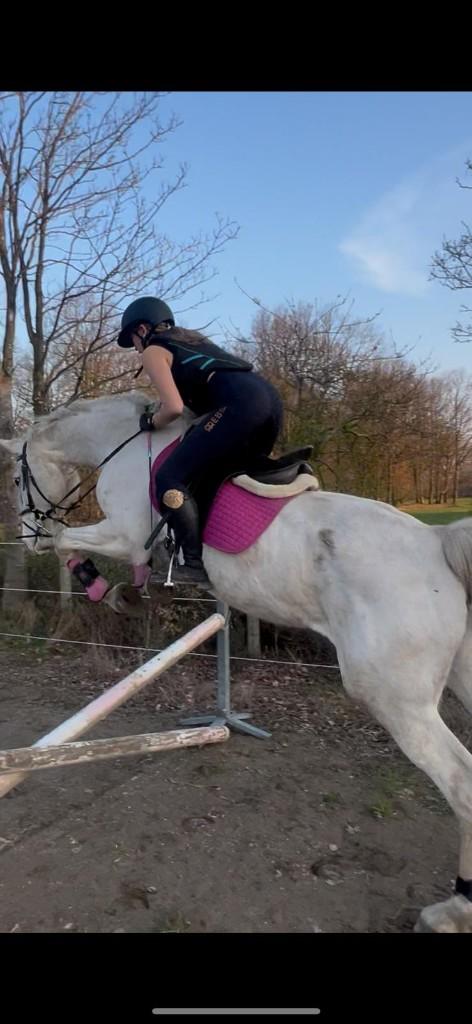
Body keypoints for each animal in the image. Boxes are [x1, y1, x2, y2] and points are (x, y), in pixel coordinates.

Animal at [2, 389, 472, 934]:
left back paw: (454, 909)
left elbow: (68, 542)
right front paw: (130, 592)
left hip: (396, 698)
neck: (123, 440)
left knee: (461, 783)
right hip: (459, 676)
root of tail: (438, 543)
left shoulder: (123, 534)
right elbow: (98, 554)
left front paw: (105, 587)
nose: (28, 537)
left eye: (18, 478)